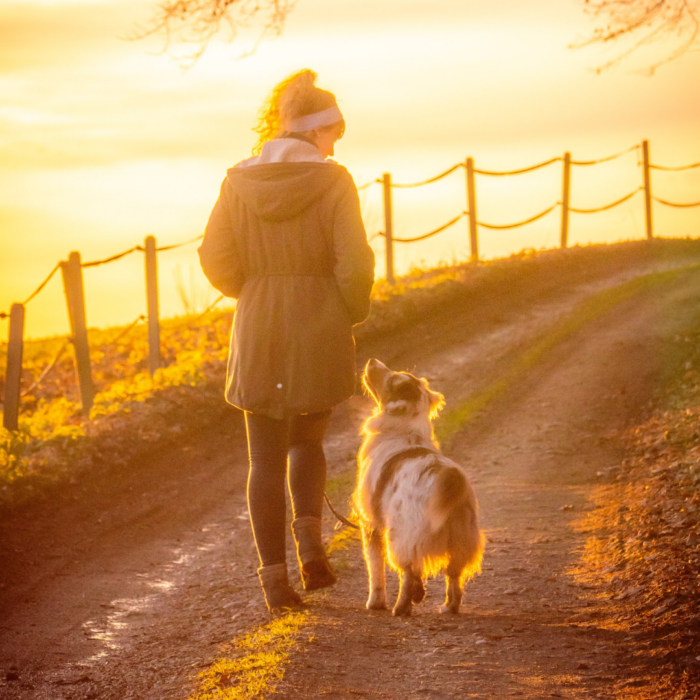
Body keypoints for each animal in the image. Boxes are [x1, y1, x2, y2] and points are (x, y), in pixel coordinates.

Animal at [352, 358, 484, 616]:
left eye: (392, 379)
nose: (372, 360)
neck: (405, 430)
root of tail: (448, 475)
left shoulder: (370, 524)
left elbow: (375, 567)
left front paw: (375, 603)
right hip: (461, 540)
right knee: (453, 576)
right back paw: (448, 607)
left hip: (400, 537)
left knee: (407, 572)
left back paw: (401, 607)